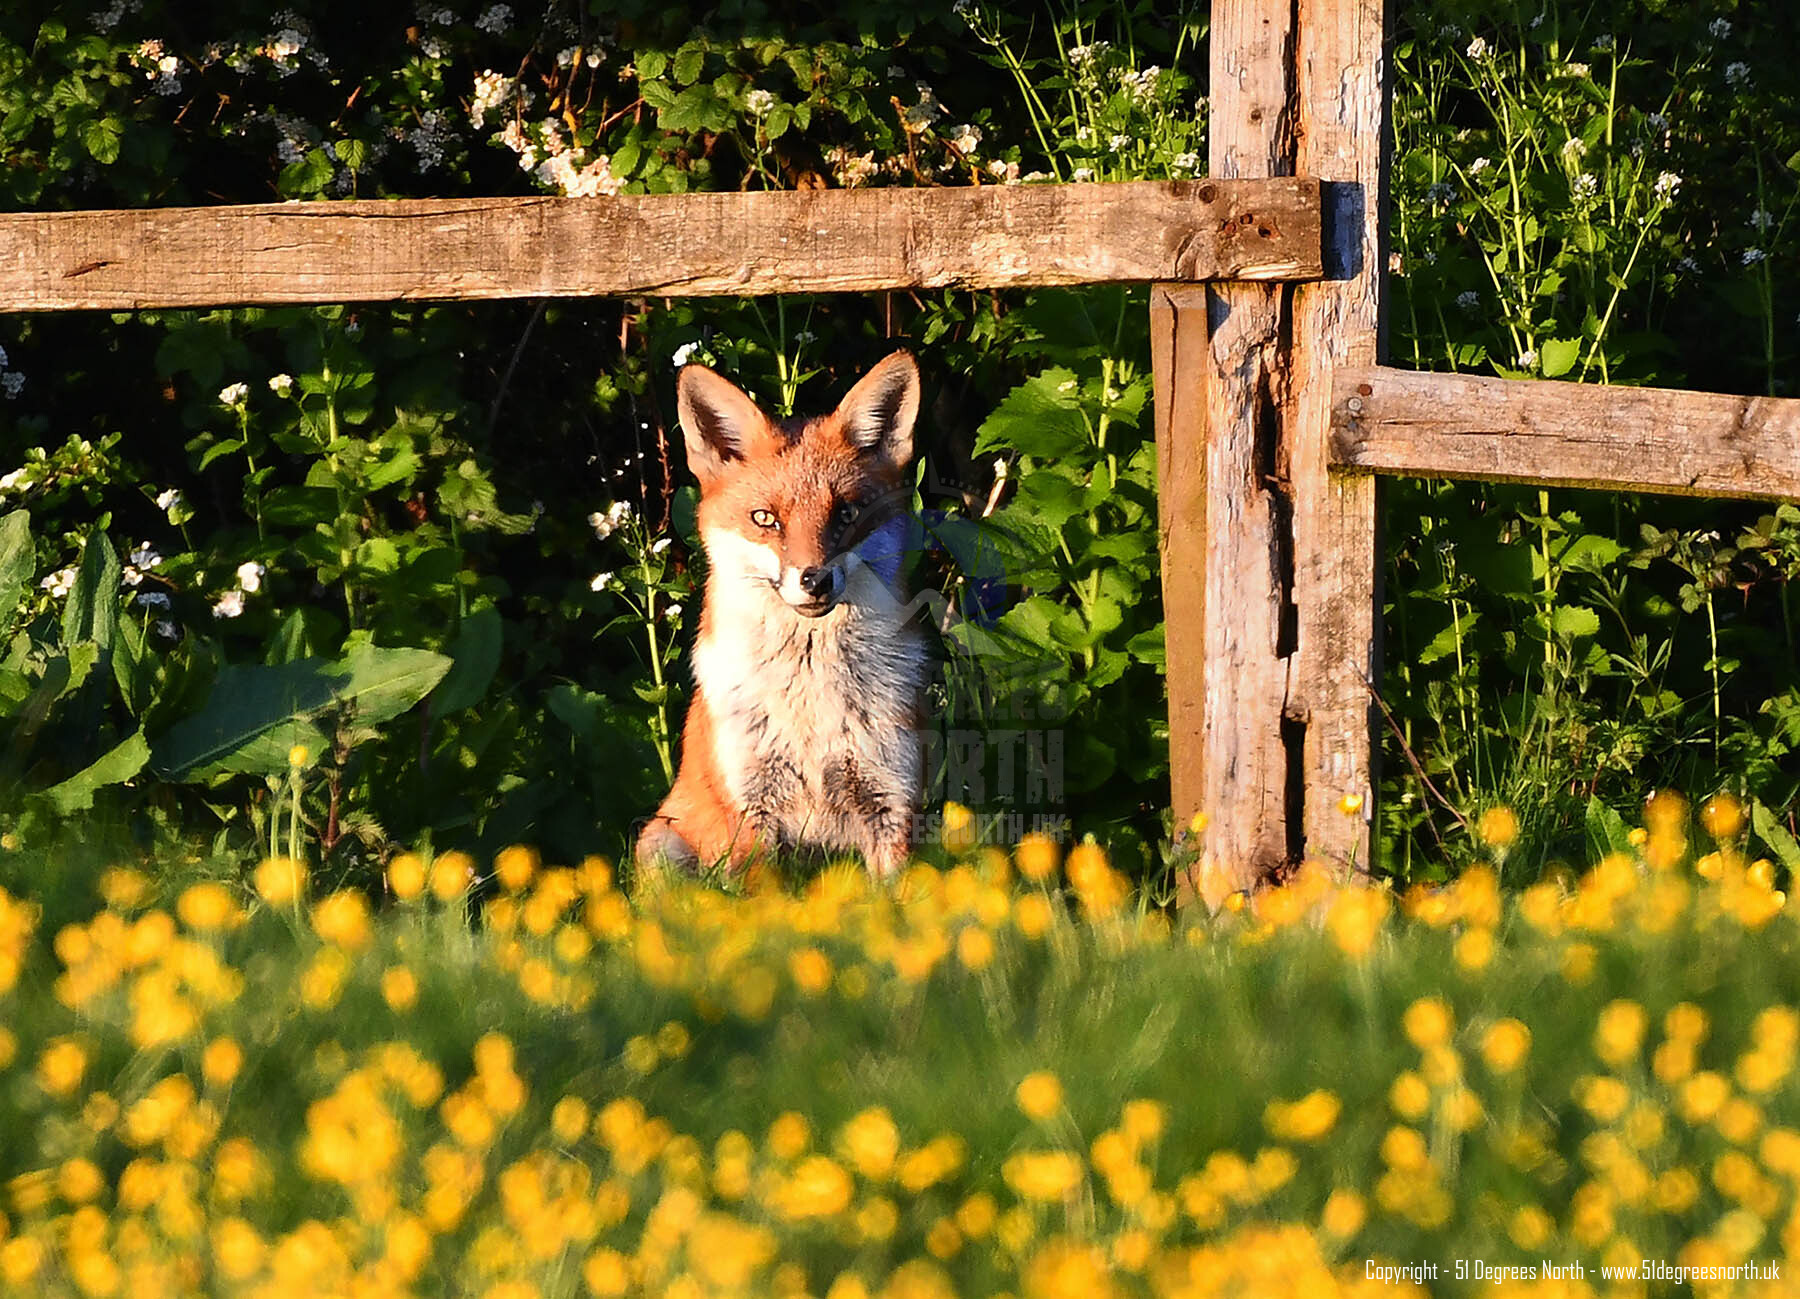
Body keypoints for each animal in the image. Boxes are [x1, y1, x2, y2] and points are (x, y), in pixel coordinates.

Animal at [634, 350, 930, 880]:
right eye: (765, 519)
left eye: (846, 515)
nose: (815, 580)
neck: (811, 706)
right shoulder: (751, 811)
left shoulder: (892, 803)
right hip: (661, 846)